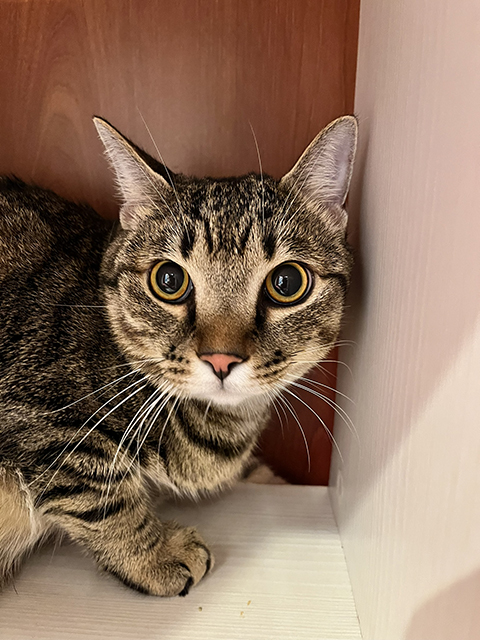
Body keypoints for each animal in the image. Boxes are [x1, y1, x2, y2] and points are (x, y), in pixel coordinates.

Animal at [0, 115, 356, 596]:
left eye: (287, 283)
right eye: (168, 280)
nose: (221, 359)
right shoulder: (41, 422)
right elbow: (100, 493)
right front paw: (154, 554)